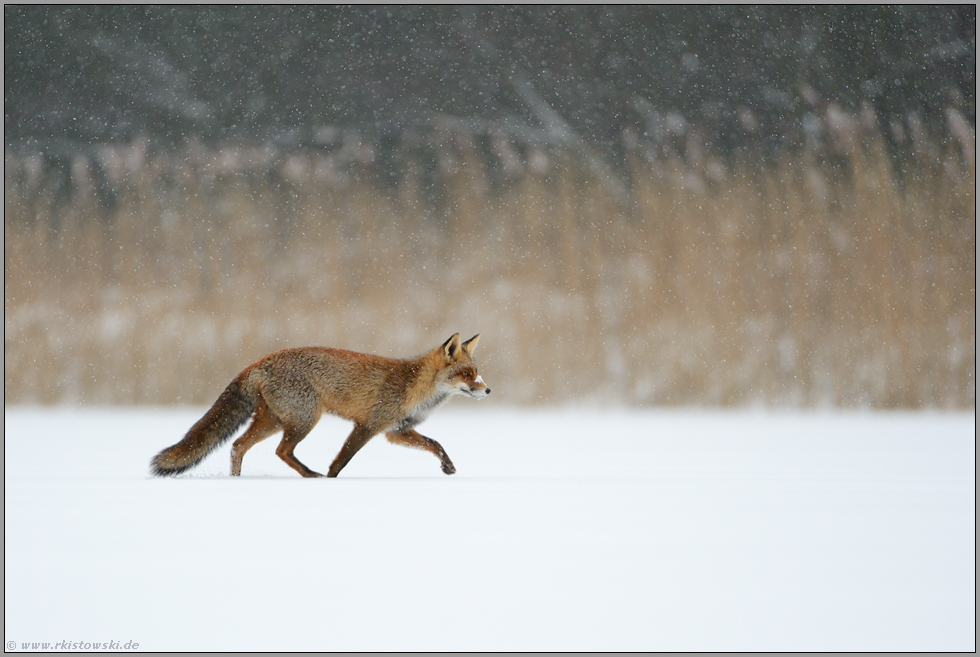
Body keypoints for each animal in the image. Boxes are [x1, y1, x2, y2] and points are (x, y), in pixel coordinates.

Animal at [148, 334, 490, 476]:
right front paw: (330, 482)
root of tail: (259, 361)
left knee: (237, 446)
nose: (487, 389)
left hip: (273, 421)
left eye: (476, 372)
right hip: (304, 419)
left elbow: (436, 444)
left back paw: (237, 481)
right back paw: (310, 475)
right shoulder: (368, 425)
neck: (414, 387)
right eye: (467, 374)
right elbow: (341, 461)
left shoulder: (396, 431)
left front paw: (448, 467)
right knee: (280, 451)